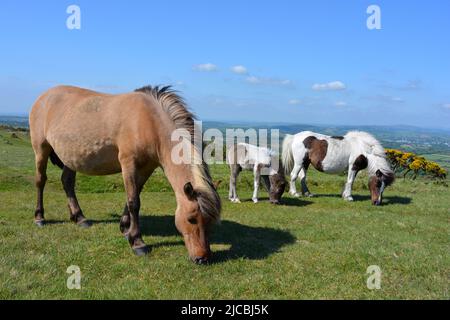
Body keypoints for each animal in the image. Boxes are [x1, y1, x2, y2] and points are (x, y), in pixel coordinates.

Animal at [28, 84, 221, 262]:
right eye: (191, 219)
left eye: (210, 221)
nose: (203, 258)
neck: (147, 120)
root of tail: (42, 97)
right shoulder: (129, 164)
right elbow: (134, 201)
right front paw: (137, 242)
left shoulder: (146, 167)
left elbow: (133, 197)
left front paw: (125, 228)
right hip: (41, 149)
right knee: (40, 181)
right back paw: (40, 217)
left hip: (71, 158)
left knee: (67, 182)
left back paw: (79, 217)